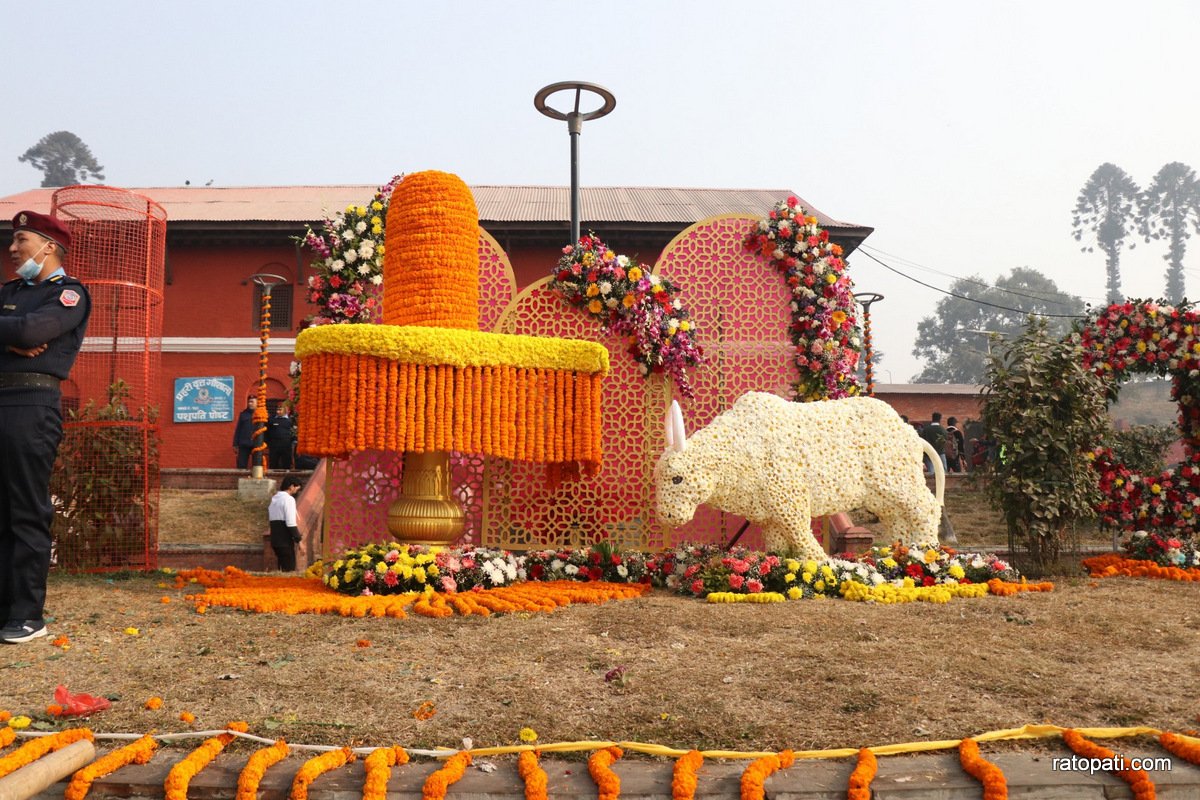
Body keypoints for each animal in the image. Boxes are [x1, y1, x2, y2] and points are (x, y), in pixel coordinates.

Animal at [657, 393, 945, 556]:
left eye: (677, 478)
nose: (666, 515)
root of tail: (912, 434)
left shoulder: (789, 500)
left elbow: (800, 534)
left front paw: (821, 562)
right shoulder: (768, 516)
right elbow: (778, 546)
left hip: (899, 482)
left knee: (927, 508)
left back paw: (923, 551)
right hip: (881, 497)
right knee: (898, 520)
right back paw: (893, 552)